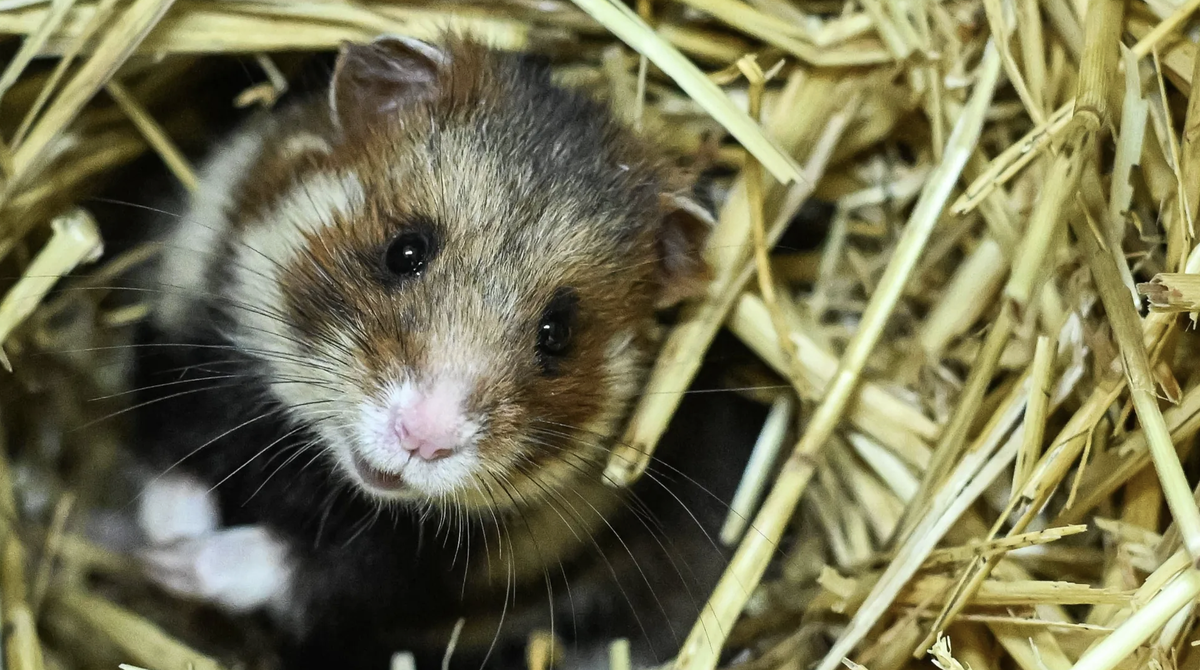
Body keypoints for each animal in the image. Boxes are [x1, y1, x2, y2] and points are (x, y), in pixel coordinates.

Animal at [127, 33, 760, 670]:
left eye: (558, 333)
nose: (423, 440)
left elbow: (294, 571)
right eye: (405, 251)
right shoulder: (184, 324)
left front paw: (173, 567)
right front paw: (164, 544)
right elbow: (171, 453)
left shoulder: (416, 569)